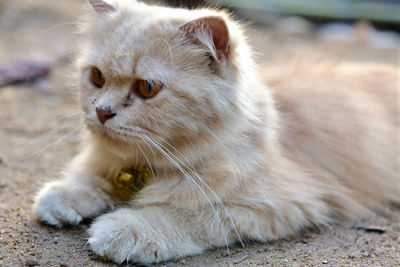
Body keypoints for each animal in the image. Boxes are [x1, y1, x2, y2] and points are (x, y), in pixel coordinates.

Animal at [32, 0, 398, 264]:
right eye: (97, 77)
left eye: (147, 88)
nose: (103, 112)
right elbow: (89, 177)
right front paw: (65, 195)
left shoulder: (276, 201)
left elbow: (187, 214)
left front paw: (125, 230)